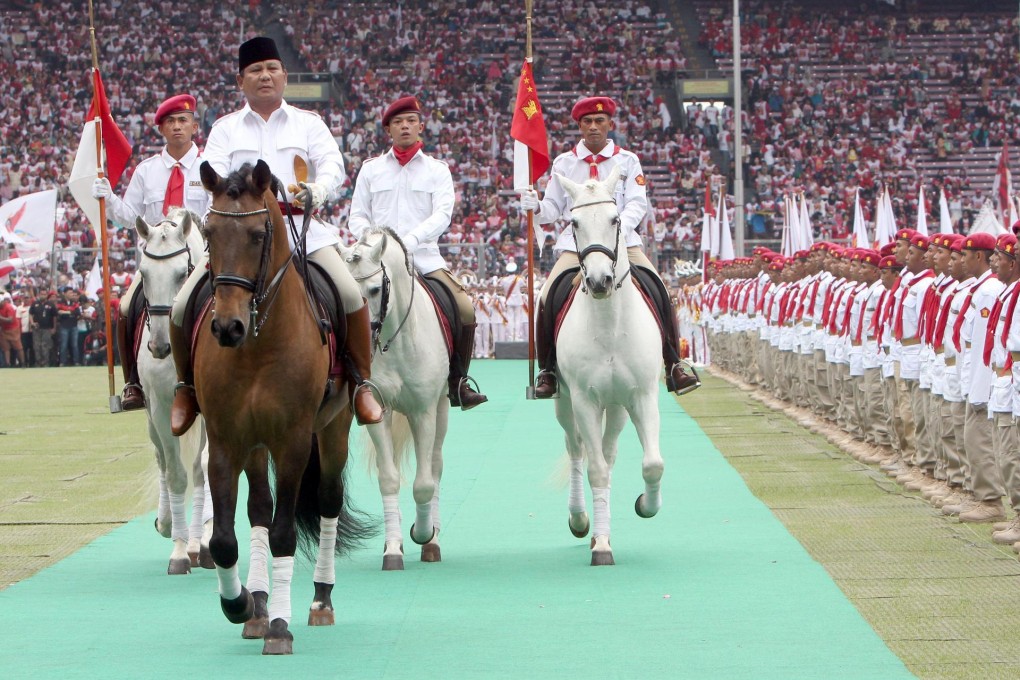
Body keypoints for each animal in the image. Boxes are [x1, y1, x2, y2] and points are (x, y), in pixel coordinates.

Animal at [192, 160, 369, 652]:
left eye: (257, 235)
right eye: (209, 232)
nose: (226, 327)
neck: (257, 343)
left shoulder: (292, 442)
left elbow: (284, 533)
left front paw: (280, 627)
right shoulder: (226, 441)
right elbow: (225, 539)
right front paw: (240, 605)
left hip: (333, 429)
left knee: (327, 500)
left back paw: (320, 600)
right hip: (255, 446)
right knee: (258, 509)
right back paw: (257, 603)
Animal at [340, 231, 448, 570]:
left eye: (375, 289)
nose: (360, 335)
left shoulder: (424, 412)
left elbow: (424, 484)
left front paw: (424, 534)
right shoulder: (378, 410)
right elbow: (389, 479)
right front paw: (392, 548)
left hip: (442, 408)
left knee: (435, 466)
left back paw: (433, 539)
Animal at [554, 166, 665, 570]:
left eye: (615, 219)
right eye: (574, 222)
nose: (600, 280)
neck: (609, 325)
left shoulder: (644, 396)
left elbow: (652, 463)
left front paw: (647, 505)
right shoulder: (584, 401)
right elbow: (596, 468)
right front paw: (601, 545)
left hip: (617, 406)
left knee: (609, 450)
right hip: (565, 403)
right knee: (577, 449)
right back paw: (581, 521)